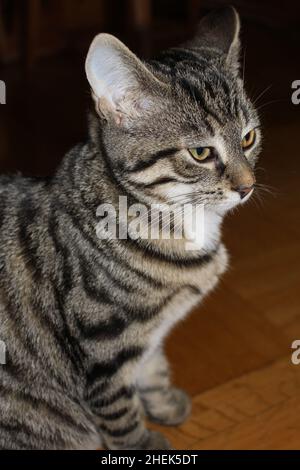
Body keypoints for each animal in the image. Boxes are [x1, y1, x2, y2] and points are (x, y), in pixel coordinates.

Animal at [0, 6, 260, 448]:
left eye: (248, 138)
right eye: (201, 152)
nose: (247, 187)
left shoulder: (148, 334)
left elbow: (152, 365)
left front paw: (163, 402)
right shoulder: (105, 348)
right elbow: (120, 414)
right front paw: (143, 445)